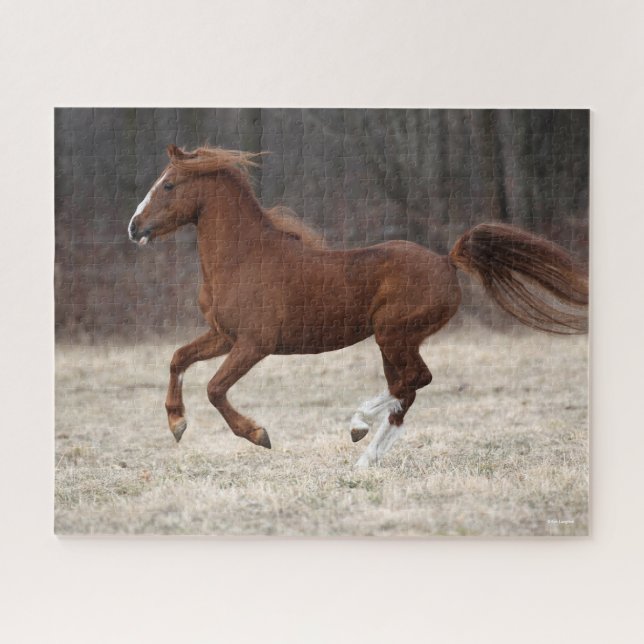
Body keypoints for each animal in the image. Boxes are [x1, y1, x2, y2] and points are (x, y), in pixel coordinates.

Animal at [128, 144, 588, 467]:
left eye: (168, 185)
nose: (134, 227)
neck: (242, 259)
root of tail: (447, 260)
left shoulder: (255, 344)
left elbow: (214, 388)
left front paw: (258, 434)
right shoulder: (224, 336)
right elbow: (177, 358)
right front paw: (176, 424)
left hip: (393, 334)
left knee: (414, 381)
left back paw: (358, 425)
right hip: (394, 341)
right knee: (408, 390)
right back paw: (365, 458)